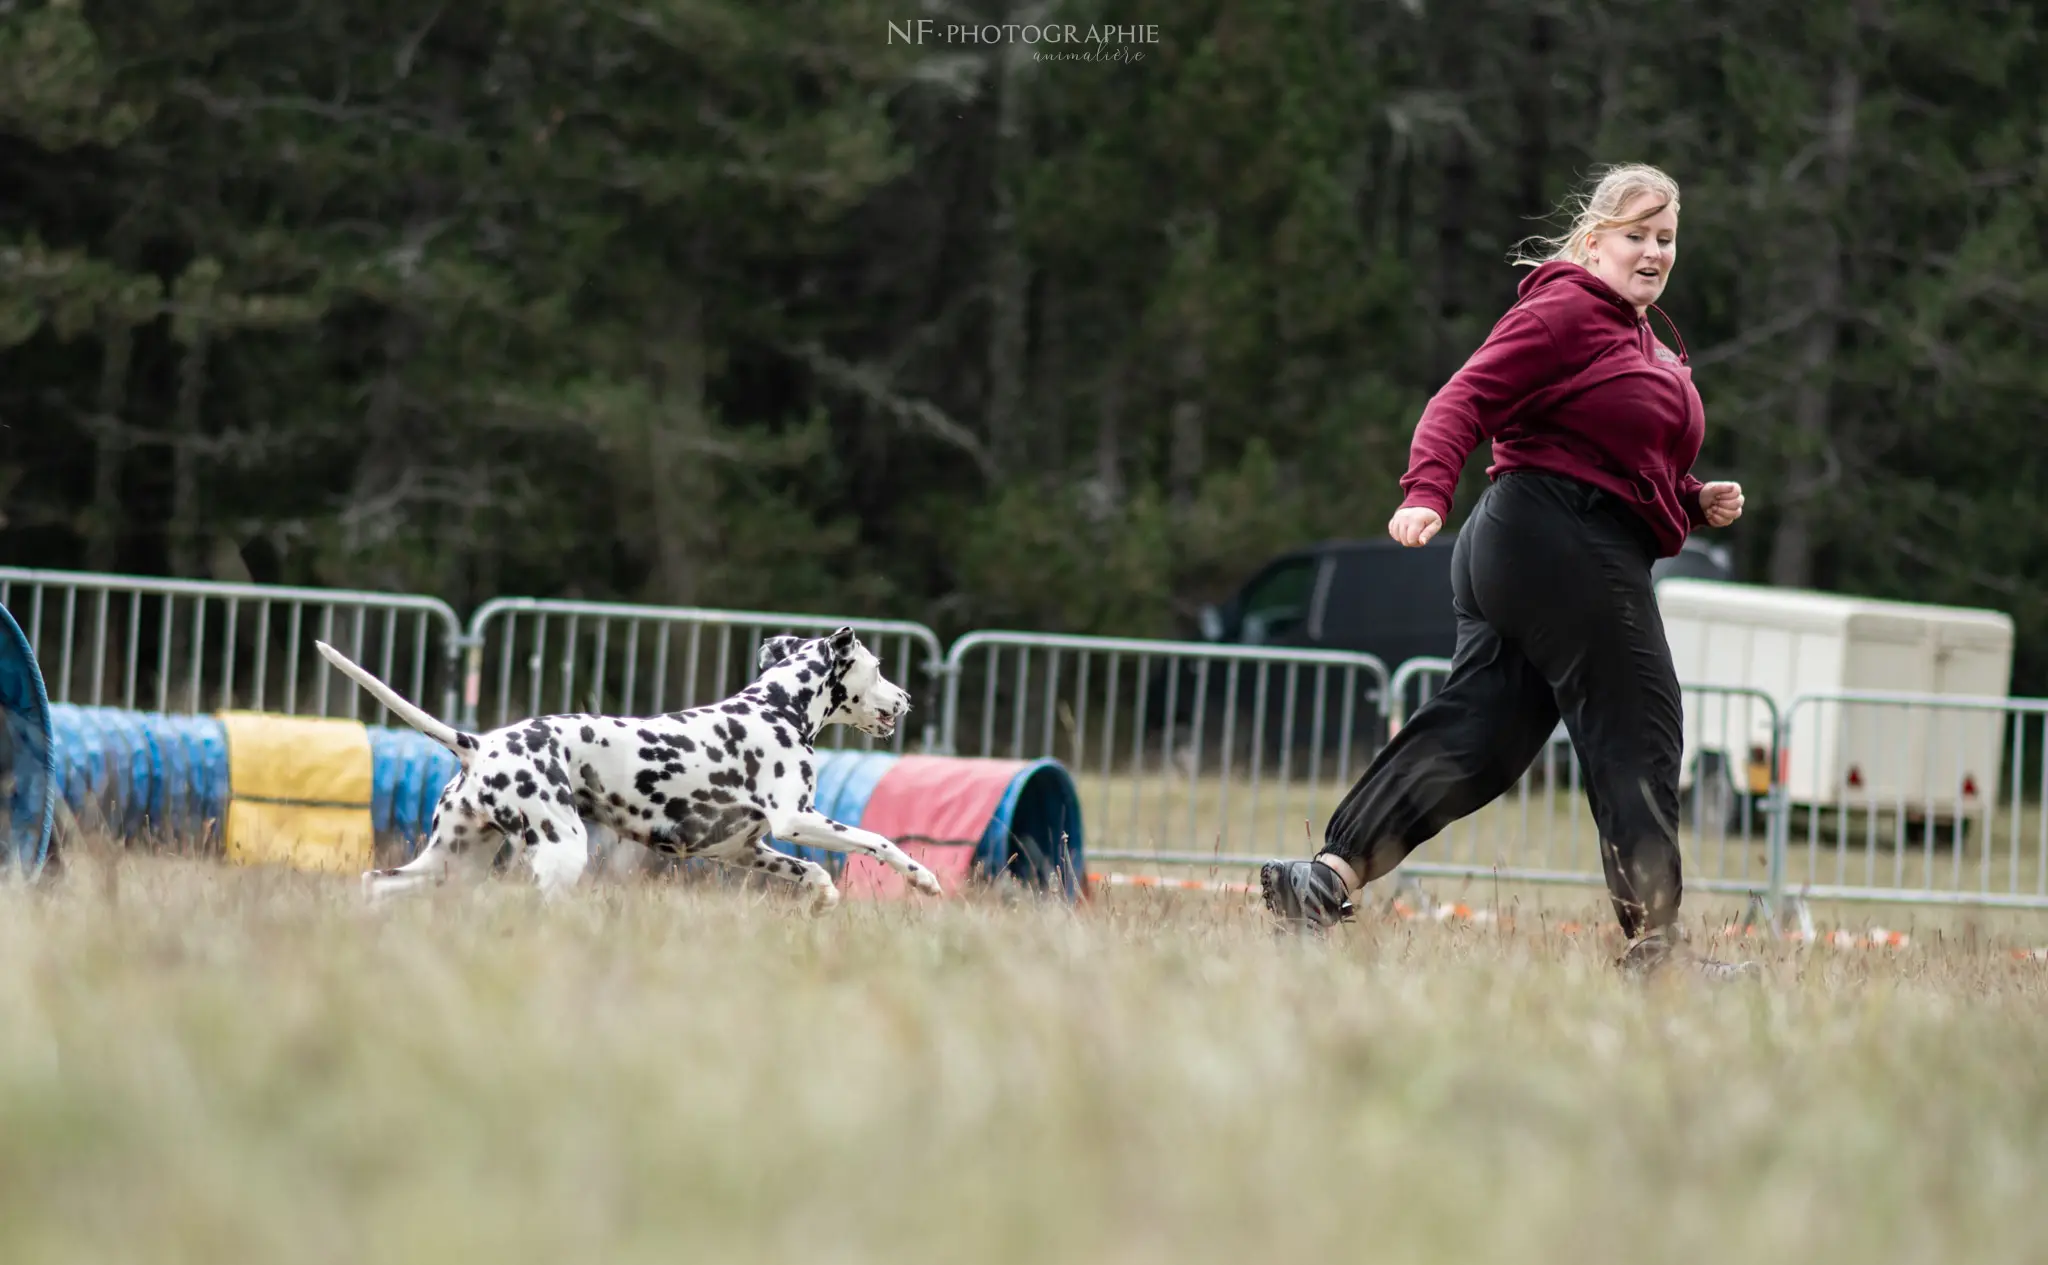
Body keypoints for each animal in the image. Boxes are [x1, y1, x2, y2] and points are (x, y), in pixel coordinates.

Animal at [313, 626, 950, 904]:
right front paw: (923, 877)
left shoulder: (742, 849)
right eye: (878, 667)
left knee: (377, 884)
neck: (777, 708)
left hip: (452, 862)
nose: (906, 699)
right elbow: (879, 841)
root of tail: (480, 743)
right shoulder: (799, 820)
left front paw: (821, 902)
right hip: (560, 853)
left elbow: (814, 874)